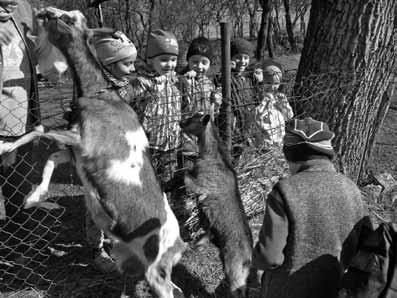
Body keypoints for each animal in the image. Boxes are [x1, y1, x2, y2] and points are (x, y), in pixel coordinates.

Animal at [0, 7, 186, 298]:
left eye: (70, 19)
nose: (44, 11)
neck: (101, 96)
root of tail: (179, 243)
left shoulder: (83, 141)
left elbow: (39, 130)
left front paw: (4, 147)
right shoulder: (76, 152)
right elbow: (51, 158)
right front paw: (33, 197)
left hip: (156, 271)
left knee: (167, 290)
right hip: (136, 260)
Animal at [180, 112, 254, 298]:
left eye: (192, 119)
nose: (180, 122)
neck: (214, 155)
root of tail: (249, 256)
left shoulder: (198, 184)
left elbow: (186, 175)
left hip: (234, 269)